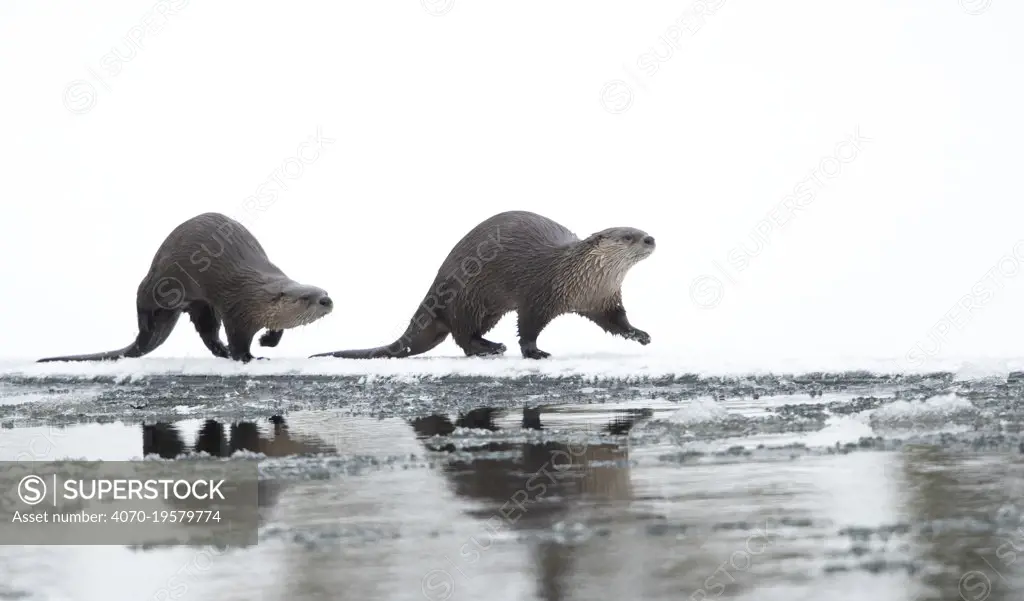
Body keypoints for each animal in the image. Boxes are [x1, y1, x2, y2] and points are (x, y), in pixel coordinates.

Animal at [35, 211, 331, 362]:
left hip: (199, 304)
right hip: (161, 281)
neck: (254, 294)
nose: (327, 301)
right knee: (142, 302)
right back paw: (148, 327)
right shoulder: (236, 309)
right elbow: (238, 338)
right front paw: (248, 357)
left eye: (324, 292)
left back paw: (221, 351)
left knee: (207, 331)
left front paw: (267, 341)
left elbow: (277, 330)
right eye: (307, 297)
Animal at [307, 208, 655, 360]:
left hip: (486, 309)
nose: (651, 239)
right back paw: (490, 348)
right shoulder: (538, 294)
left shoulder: (602, 299)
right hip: (468, 297)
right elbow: (528, 327)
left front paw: (641, 335)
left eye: (642, 230)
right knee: (462, 336)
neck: (576, 278)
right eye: (628, 236)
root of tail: (436, 285)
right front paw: (534, 352)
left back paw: (489, 344)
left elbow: (616, 322)